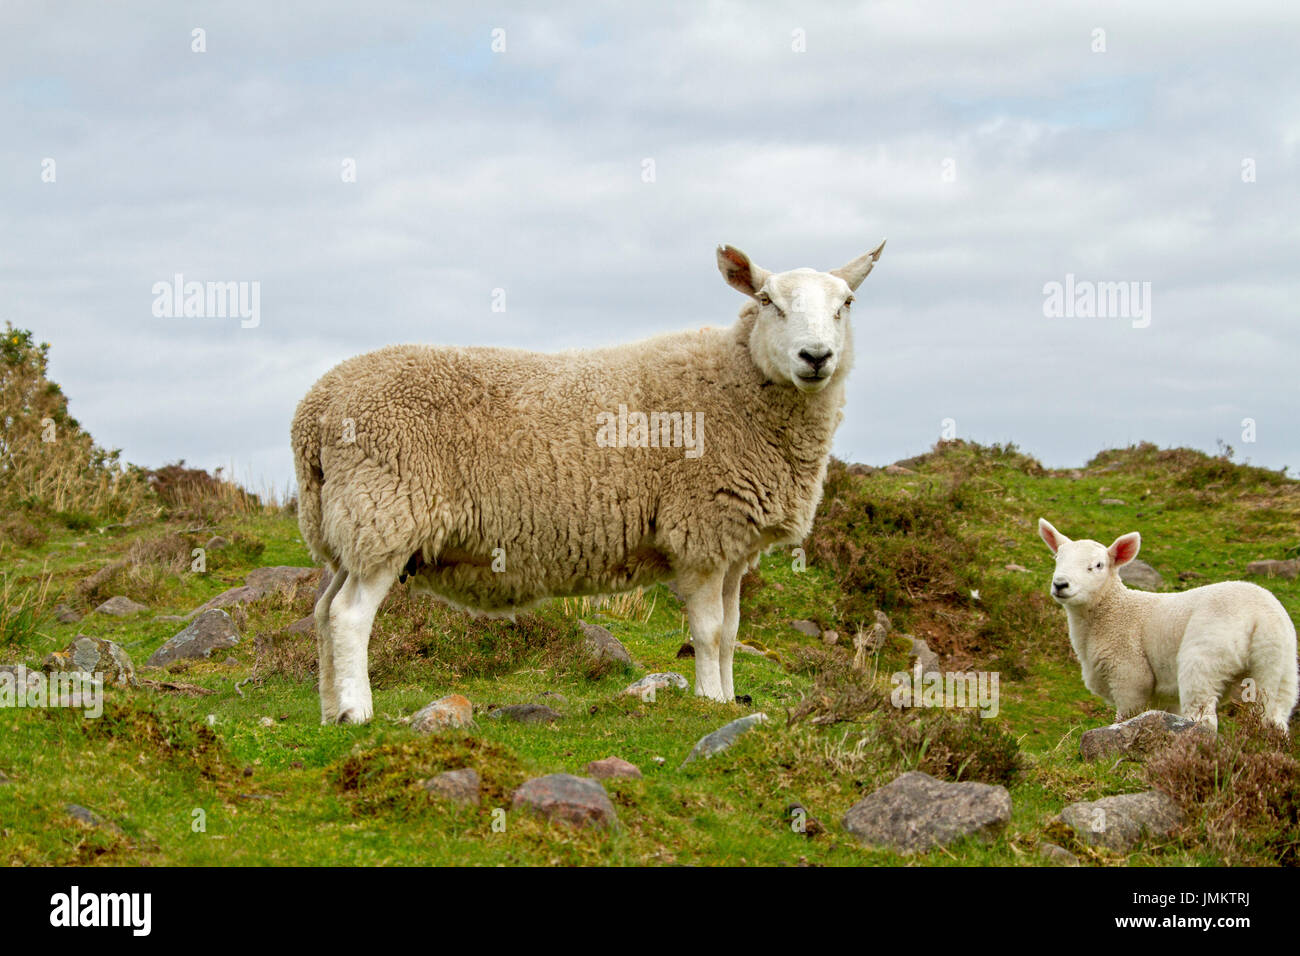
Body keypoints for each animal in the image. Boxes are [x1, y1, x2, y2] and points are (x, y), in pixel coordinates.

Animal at [292, 240, 883, 723]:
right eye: (767, 301)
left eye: (847, 304)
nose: (815, 357)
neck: (735, 387)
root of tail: (316, 407)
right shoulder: (699, 532)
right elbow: (709, 631)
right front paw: (710, 702)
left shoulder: (733, 546)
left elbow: (733, 633)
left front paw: (730, 700)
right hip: (385, 512)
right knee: (349, 616)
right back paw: (356, 712)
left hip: (346, 525)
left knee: (322, 612)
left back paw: (327, 710)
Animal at [1034, 520, 1300, 728]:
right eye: (1057, 559)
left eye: (1098, 565)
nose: (1060, 584)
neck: (1112, 610)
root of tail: (1261, 615)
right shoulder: (1166, 696)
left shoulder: (1129, 675)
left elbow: (1125, 717)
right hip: (1282, 668)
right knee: (1274, 719)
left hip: (1206, 657)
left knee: (1204, 717)